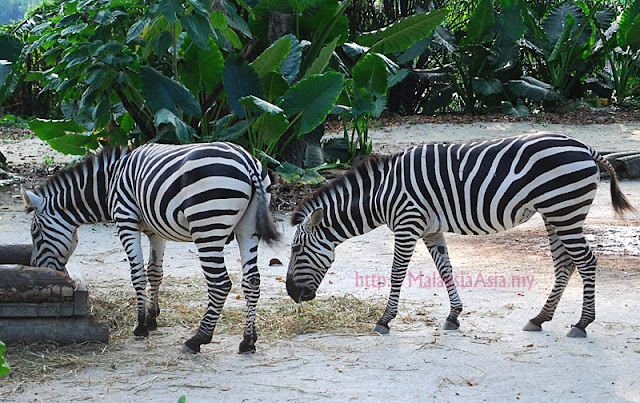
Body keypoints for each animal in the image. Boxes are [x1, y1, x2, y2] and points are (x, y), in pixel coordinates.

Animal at [21, 142, 278, 354]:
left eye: (35, 233)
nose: (35, 268)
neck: (108, 185)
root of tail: (247, 161)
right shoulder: (156, 230)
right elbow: (155, 273)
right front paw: (153, 318)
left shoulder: (126, 220)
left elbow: (138, 274)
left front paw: (141, 325)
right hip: (247, 228)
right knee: (252, 281)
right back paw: (248, 341)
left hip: (207, 226)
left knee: (220, 284)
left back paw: (198, 339)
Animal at [288, 134, 636, 340]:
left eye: (296, 248)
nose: (293, 294)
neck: (381, 194)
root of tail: (585, 147)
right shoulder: (430, 228)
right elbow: (445, 270)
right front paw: (454, 315)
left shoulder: (407, 223)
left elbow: (397, 273)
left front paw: (385, 320)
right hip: (556, 213)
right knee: (565, 264)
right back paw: (540, 318)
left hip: (564, 210)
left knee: (586, 261)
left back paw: (581, 324)